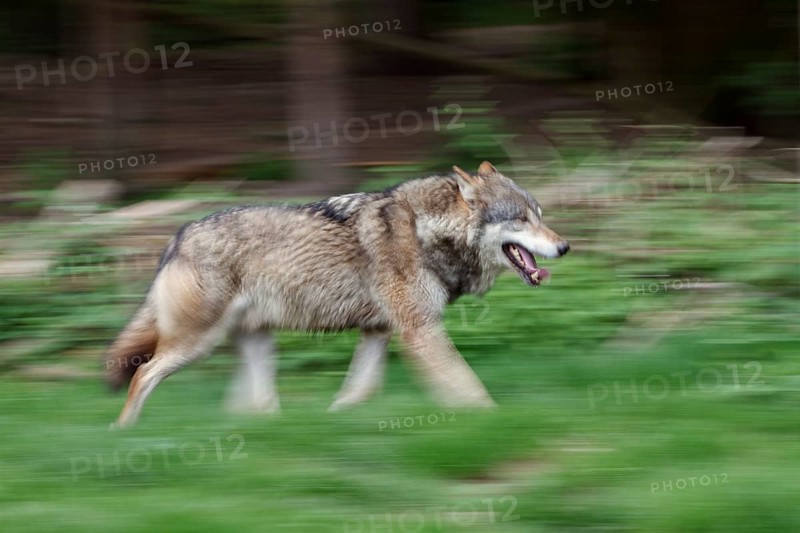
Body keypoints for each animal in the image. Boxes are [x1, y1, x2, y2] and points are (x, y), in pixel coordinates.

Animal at [106, 161, 569, 427]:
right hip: (195, 344)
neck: (426, 231)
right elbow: (469, 388)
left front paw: (334, 423)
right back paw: (123, 433)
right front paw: (497, 422)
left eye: (541, 216)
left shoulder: (380, 332)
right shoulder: (419, 330)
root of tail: (178, 236)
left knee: (252, 406)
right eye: (522, 220)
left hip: (255, 345)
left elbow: (357, 392)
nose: (565, 247)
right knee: (144, 374)